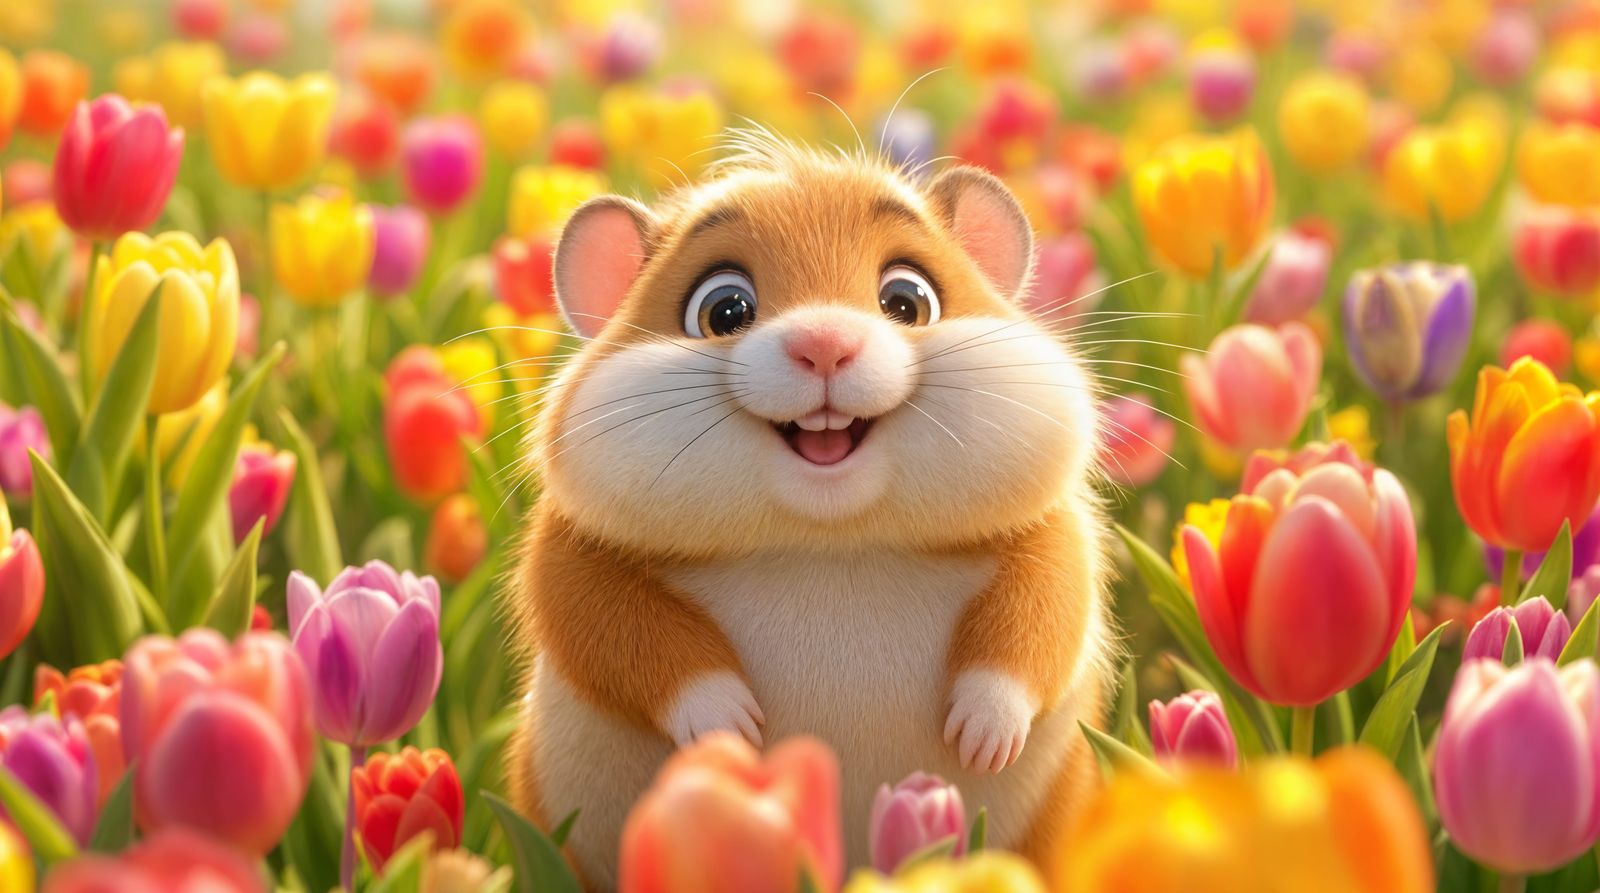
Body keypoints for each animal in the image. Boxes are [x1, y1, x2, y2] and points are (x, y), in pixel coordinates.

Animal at [504, 131, 1116, 889]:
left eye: (908, 300)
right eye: (724, 310)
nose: (824, 343)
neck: (829, 543)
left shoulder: (1053, 530)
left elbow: (1046, 609)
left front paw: (983, 731)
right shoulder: (572, 549)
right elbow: (602, 623)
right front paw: (728, 728)